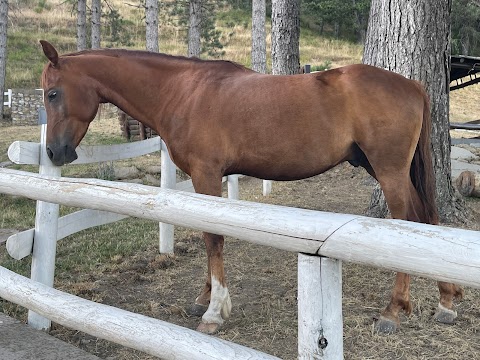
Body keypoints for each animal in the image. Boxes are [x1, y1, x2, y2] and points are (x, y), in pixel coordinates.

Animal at [40, 40, 462, 336]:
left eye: (52, 93)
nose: (55, 152)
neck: (184, 91)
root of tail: (412, 85)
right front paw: (204, 298)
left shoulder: (207, 175)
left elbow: (213, 237)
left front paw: (214, 312)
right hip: (384, 169)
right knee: (425, 220)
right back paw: (446, 300)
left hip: (389, 171)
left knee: (407, 221)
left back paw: (393, 310)